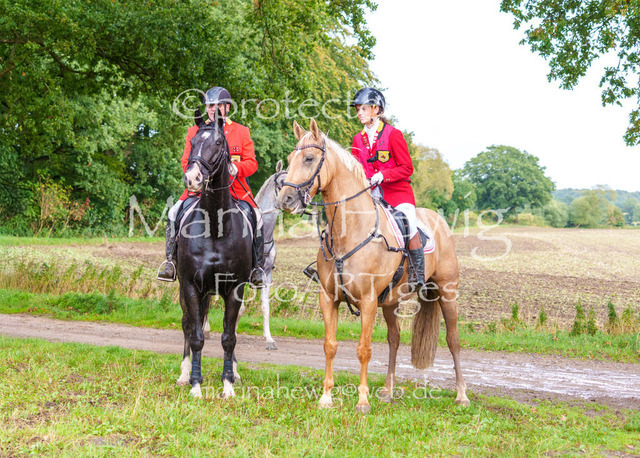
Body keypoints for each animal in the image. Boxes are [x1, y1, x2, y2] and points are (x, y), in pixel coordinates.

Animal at [175, 109, 254, 398]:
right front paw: (196, 385)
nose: (193, 179)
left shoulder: (235, 288)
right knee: (188, 325)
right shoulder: (190, 286)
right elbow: (196, 335)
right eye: (192, 143)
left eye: (219, 143)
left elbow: (229, 337)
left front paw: (228, 384)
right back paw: (184, 374)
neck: (215, 226)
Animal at [201, 161, 286, 350]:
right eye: (281, 183)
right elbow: (239, 308)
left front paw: (269, 339)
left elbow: (264, 307)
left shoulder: (265, 275)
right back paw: (205, 328)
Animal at [277, 119, 469, 413]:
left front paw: (362, 401)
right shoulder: (328, 298)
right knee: (394, 340)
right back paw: (388, 391)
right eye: (289, 159)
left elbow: (363, 349)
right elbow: (330, 345)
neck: (349, 231)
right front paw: (326, 397)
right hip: (390, 301)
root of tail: (439, 220)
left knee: (453, 340)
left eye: (309, 158)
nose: (284, 200)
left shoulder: (367, 301)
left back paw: (461, 394)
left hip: (448, 292)